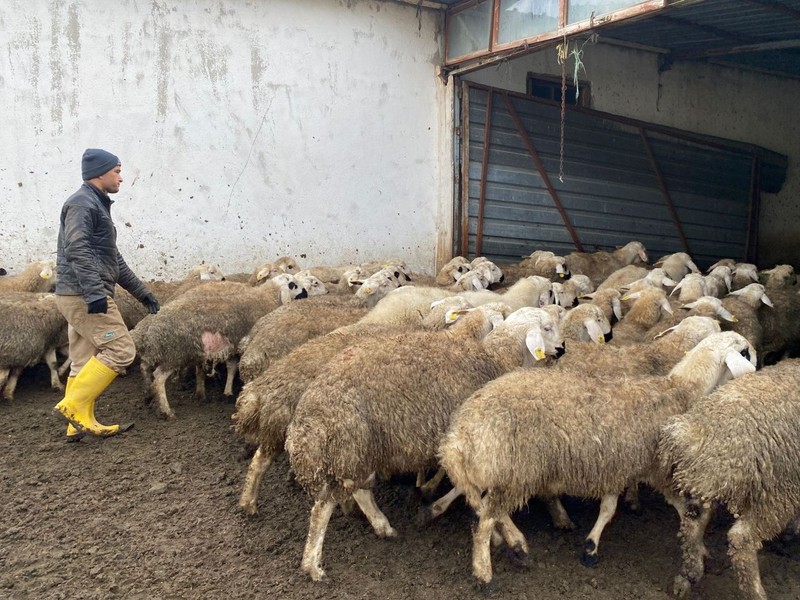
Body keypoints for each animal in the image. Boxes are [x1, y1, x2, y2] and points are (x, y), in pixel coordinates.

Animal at [133, 276, 308, 420]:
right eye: (293, 284)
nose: (306, 294)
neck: (266, 297)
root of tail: (151, 328)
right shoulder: (237, 346)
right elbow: (233, 367)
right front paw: (228, 391)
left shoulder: (230, 347)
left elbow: (229, 367)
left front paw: (222, 391)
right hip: (175, 353)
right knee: (158, 379)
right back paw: (166, 410)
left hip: (163, 353)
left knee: (144, 368)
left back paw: (148, 395)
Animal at [438, 330, 756, 584]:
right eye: (746, 350)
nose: (758, 369)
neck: (681, 390)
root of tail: (460, 433)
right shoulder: (654, 469)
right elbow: (682, 509)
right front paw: (699, 548)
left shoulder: (617, 465)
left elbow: (608, 507)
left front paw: (590, 547)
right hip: (515, 471)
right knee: (484, 521)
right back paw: (485, 571)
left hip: (505, 471)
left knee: (485, 506)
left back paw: (513, 542)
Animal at [660, 358, 800, 600]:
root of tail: (694, 435)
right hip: (776, 492)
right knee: (741, 539)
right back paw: (756, 592)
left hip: (704, 481)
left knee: (692, 522)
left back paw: (690, 573)